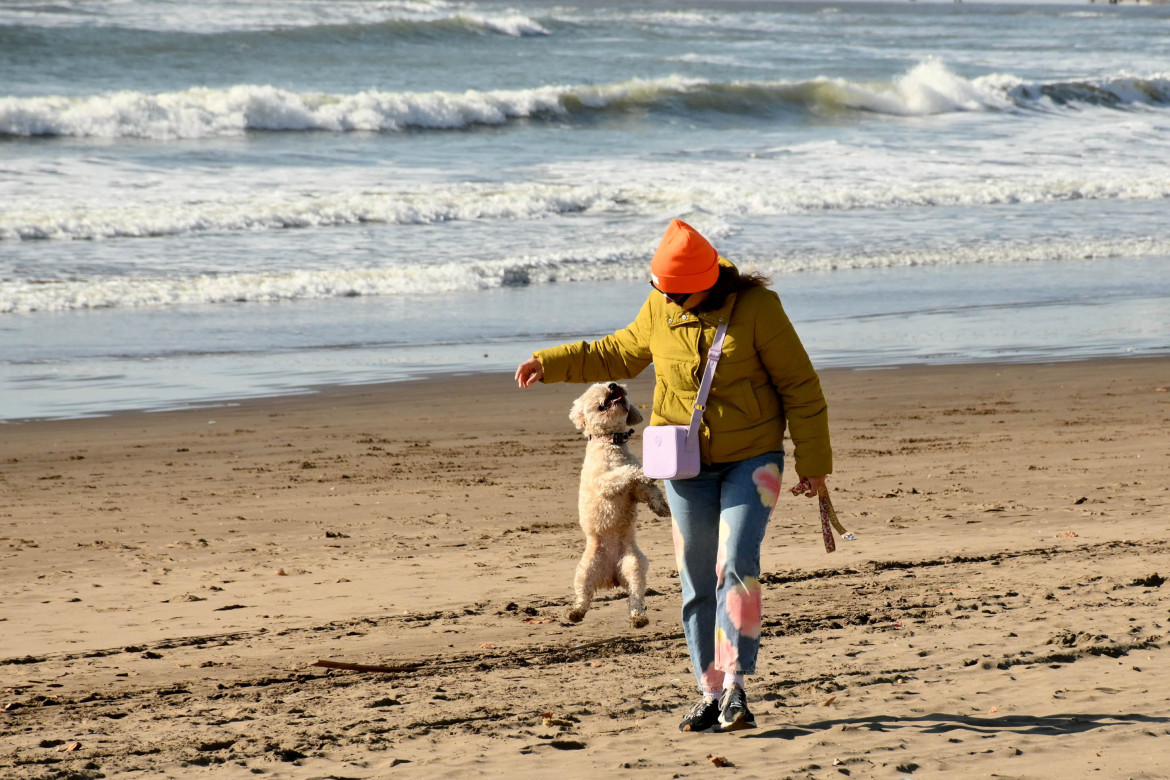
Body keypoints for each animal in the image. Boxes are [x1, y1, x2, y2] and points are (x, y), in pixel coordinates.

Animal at [563, 381, 669, 631]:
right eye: (597, 389)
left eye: (616, 384)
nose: (612, 385)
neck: (611, 442)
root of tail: (611, 575)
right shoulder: (606, 484)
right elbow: (628, 472)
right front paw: (646, 472)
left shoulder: (634, 492)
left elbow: (649, 490)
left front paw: (661, 507)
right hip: (585, 571)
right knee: (584, 595)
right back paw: (575, 612)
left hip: (634, 566)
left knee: (636, 596)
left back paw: (638, 617)